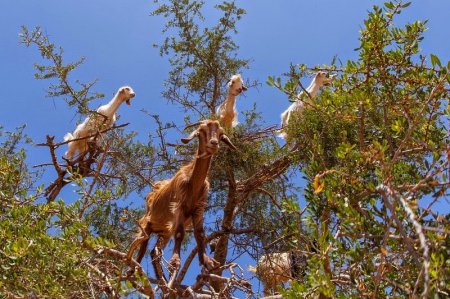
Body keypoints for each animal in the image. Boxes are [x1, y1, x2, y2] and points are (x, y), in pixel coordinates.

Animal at [126, 120, 237, 282]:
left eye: (221, 134)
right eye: (201, 131)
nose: (214, 143)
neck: (193, 183)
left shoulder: (198, 209)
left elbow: (200, 233)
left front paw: (206, 261)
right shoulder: (178, 206)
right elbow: (179, 234)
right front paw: (175, 262)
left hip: (164, 230)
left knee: (154, 250)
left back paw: (161, 277)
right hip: (147, 223)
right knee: (141, 246)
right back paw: (133, 271)